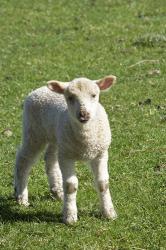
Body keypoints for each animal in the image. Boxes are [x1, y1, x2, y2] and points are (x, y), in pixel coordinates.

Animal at [14, 74, 118, 225]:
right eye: (70, 97)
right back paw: (21, 196)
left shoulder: (101, 153)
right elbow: (70, 185)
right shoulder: (67, 156)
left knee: (50, 159)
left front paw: (109, 213)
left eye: (94, 95)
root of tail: (39, 89)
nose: (83, 114)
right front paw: (70, 216)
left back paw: (57, 191)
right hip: (33, 132)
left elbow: (103, 183)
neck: (85, 140)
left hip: (57, 138)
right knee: (23, 160)